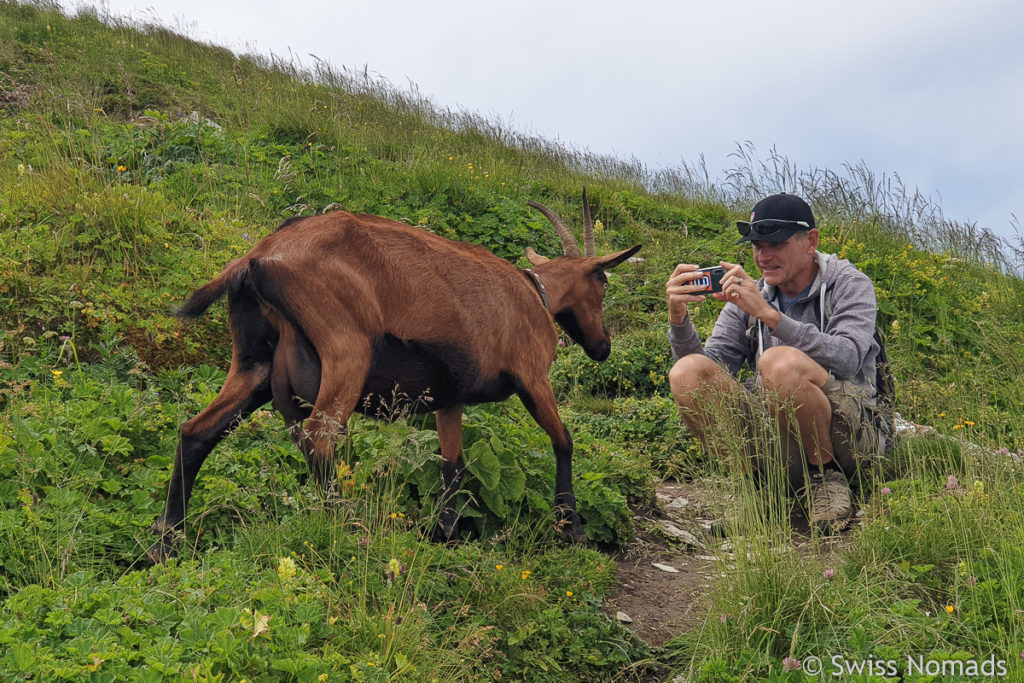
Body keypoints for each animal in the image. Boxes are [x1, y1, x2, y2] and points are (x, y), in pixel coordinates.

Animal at [149, 191, 638, 561]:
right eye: (603, 282)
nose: (602, 346)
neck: (535, 294)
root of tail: (257, 257)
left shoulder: (449, 397)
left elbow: (453, 464)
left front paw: (446, 534)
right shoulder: (533, 377)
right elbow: (563, 441)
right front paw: (572, 528)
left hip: (255, 364)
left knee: (196, 432)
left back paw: (167, 540)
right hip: (347, 351)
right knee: (319, 439)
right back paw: (348, 530)